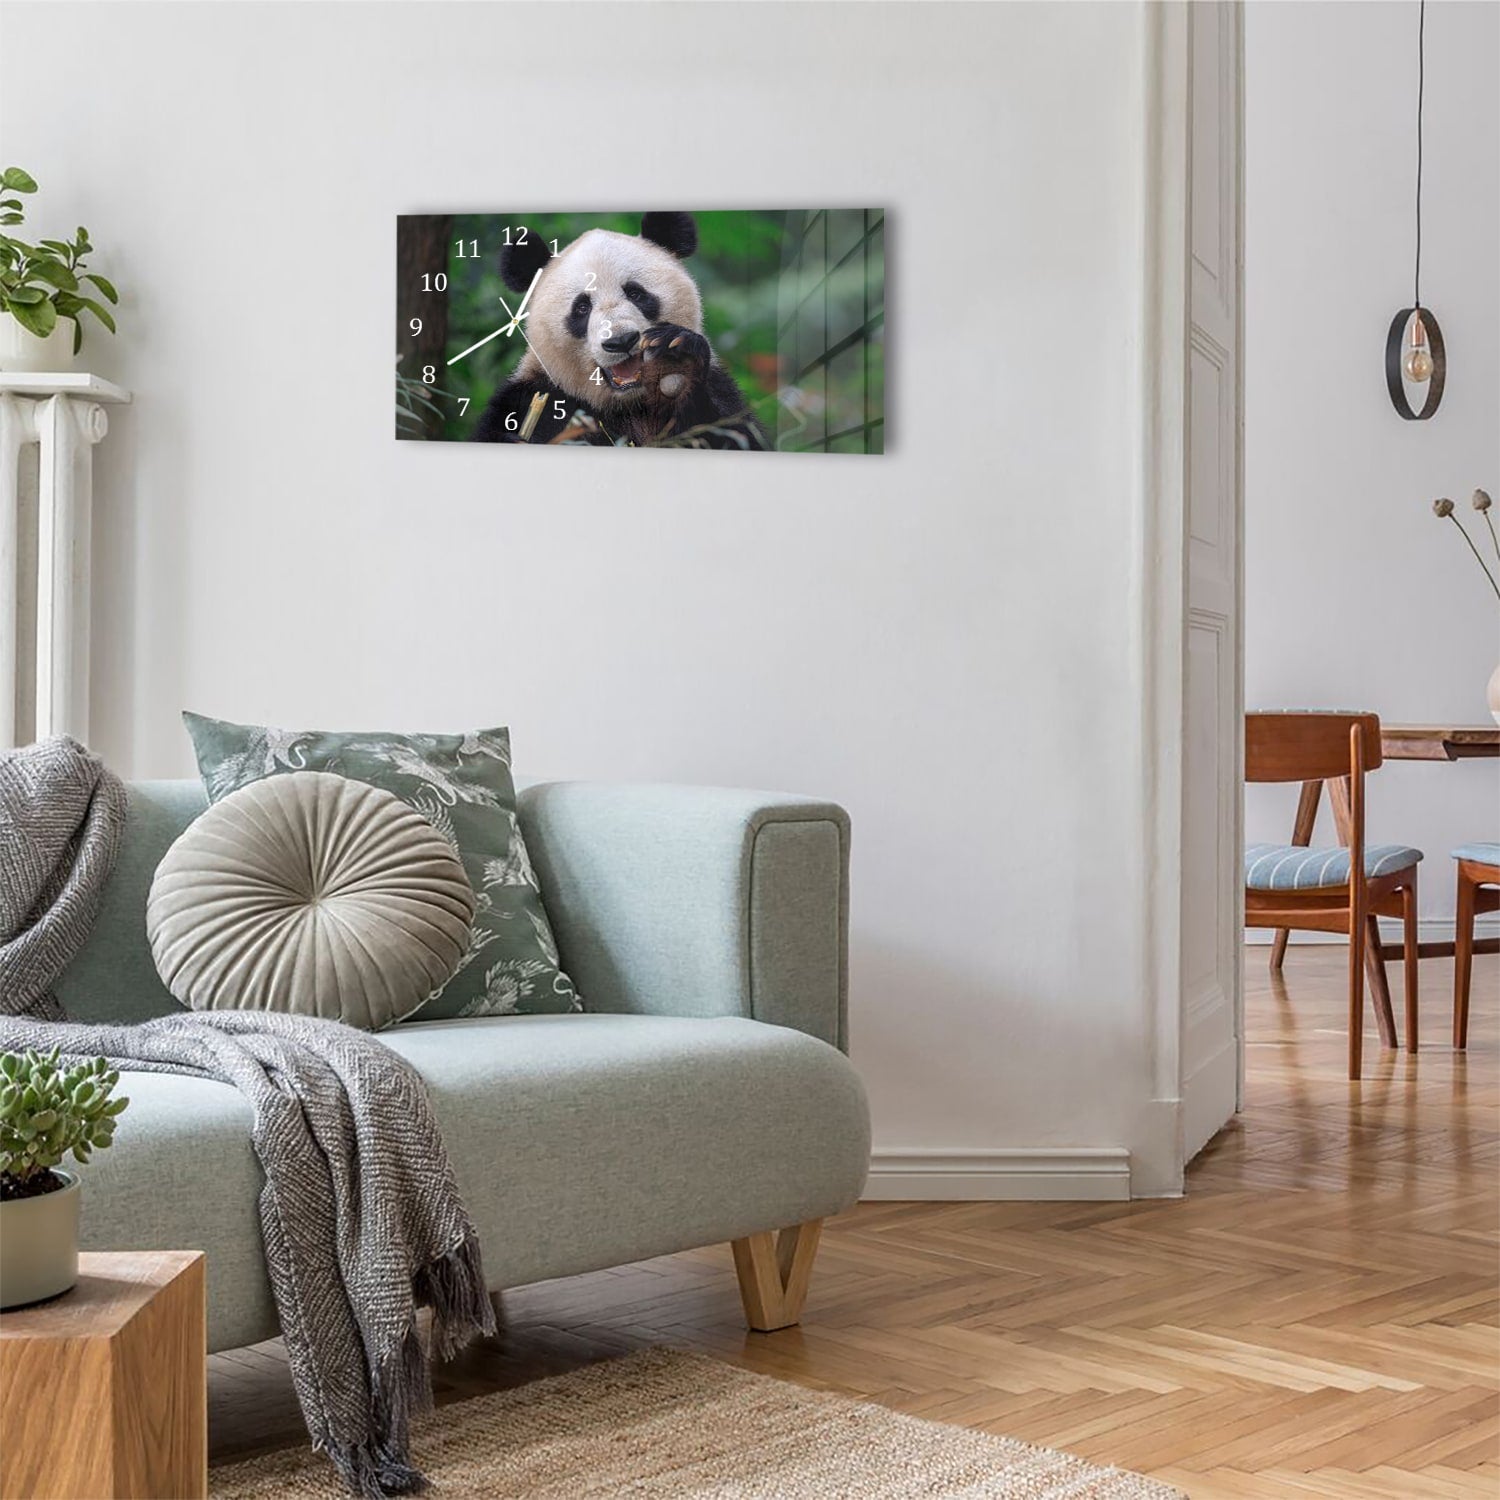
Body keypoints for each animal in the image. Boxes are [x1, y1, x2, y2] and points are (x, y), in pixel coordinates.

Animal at [472, 212, 767, 450]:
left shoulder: (720, 390)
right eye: (582, 308)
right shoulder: (532, 398)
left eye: (636, 293)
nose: (621, 341)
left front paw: (678, 364)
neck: (630, 405)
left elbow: (732, 433)